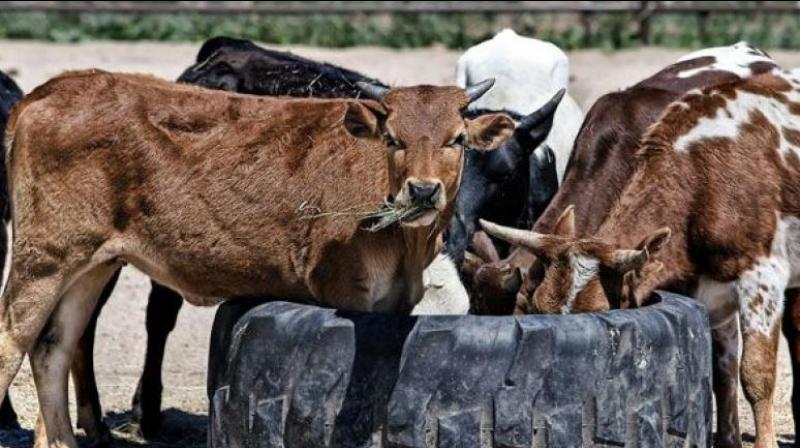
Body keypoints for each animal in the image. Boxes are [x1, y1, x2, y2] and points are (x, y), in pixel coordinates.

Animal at [478, 67, 800, 448]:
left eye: (601, 313)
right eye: (537, 309)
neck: (703, 175)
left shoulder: (762, 279)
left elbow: (755, 374)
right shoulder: (711, 292)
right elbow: (722, 370)